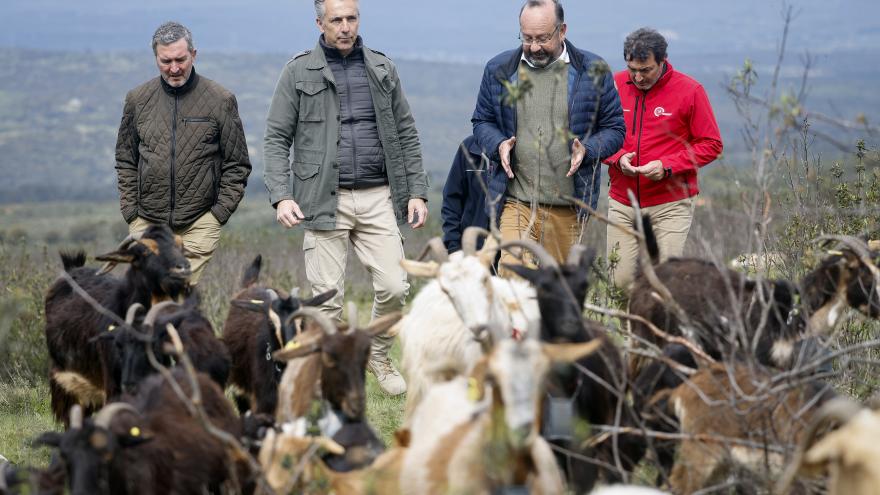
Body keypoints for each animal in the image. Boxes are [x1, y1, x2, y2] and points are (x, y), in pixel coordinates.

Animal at [43, 227, 191, 424]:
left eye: (180, 245)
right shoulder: (114, 384)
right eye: (145, 251)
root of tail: (71, 269)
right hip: (67, 386)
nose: (183, 268)